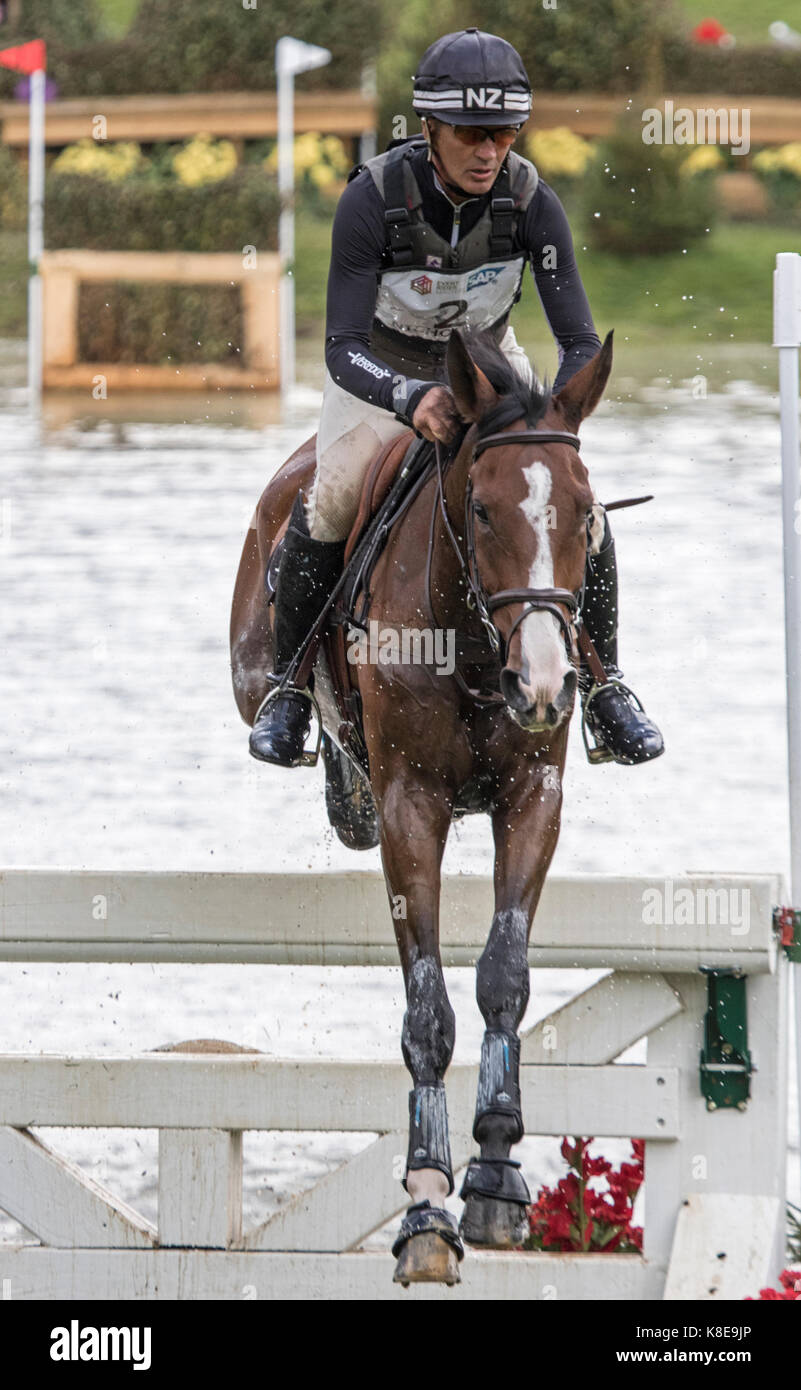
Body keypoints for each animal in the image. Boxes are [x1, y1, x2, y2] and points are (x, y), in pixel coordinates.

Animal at [230, 326, 612, 1284]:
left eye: (584, 513)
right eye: (478, 510)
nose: (543, 684)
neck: (476, 644)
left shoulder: (533, 798)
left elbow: (504, 978)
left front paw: (496, 1173)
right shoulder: (413, 808)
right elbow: (427, 1009)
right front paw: (428, 1202)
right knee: (322, 742)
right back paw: (324, 757)